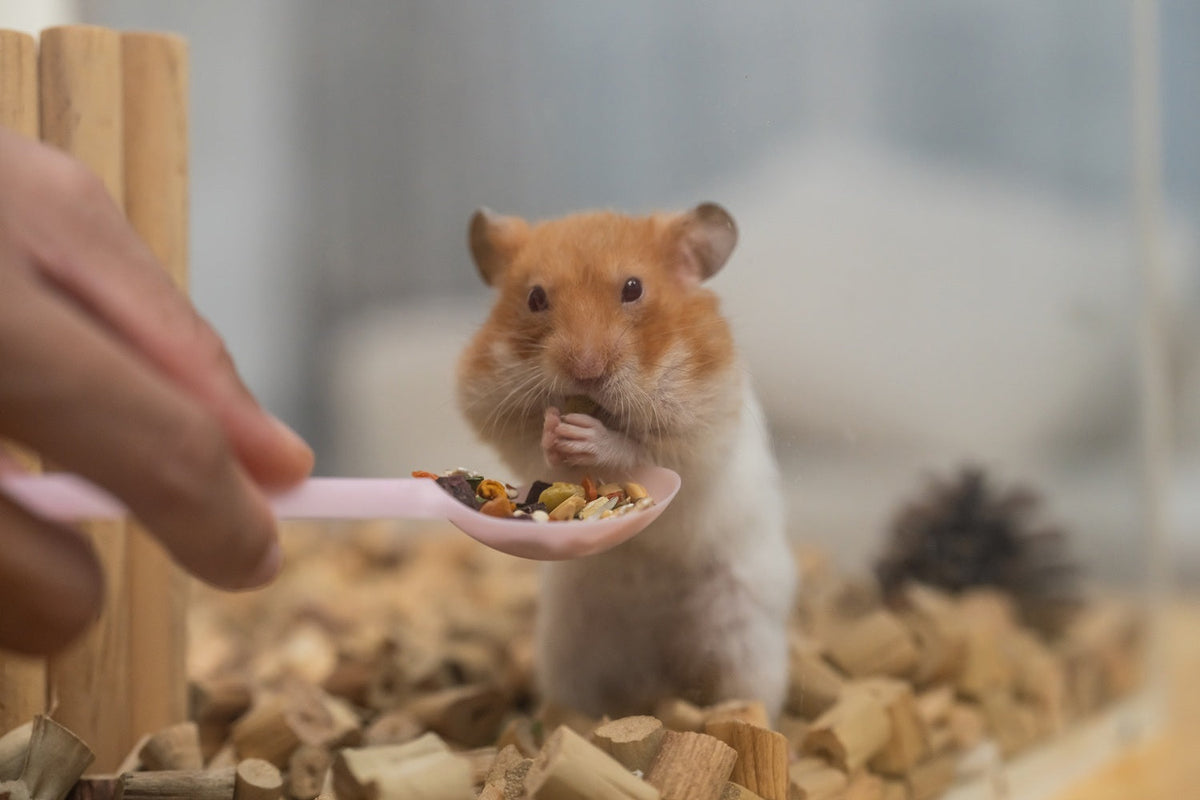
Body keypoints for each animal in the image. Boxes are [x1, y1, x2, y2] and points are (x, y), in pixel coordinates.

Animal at [456, 203, 795, 719]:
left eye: (633, 288)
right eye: (535, 298)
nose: (586, 370)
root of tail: (657, 677)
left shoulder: (704, 430)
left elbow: (646, 451)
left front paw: (588, 436)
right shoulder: (499, 419)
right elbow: (536, 450)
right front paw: (556, 431)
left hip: (741, 639)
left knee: (746, 690)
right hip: (569, 646)